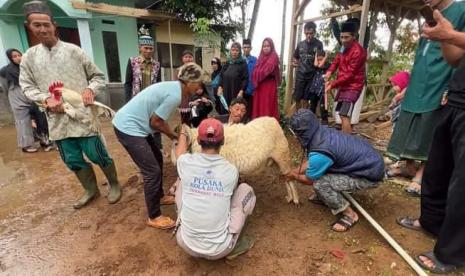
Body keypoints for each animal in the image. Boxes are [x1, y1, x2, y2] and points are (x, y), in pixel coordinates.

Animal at [172, 116, 300, 205]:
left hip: (283, 156)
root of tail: (274, 121)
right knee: (286, 178)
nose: (173, 160)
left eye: (176, 143)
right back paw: (290, 198)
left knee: (291, 178)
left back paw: (296, 199)